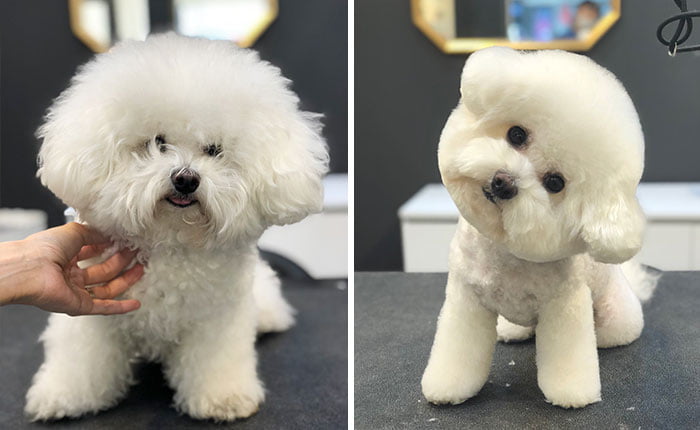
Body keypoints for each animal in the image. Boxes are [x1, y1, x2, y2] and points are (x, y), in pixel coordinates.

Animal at [23, 32, 326, 420]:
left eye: (214, 149)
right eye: (157, 142)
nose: (186, 179)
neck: (169, 241)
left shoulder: (216, 317)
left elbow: (215, 360)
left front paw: (223, 398)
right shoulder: (91, 314)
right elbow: (81, 358)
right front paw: (65, 395)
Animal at [424, 47, 660, 410]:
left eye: (555, 182)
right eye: (517, 134)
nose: (504, 182)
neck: (504, 253)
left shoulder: (564, 305)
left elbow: (567, 355)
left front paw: (571, 392)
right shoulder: (467, 297)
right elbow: (458, 347)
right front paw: (448, 385)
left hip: (614, 314)